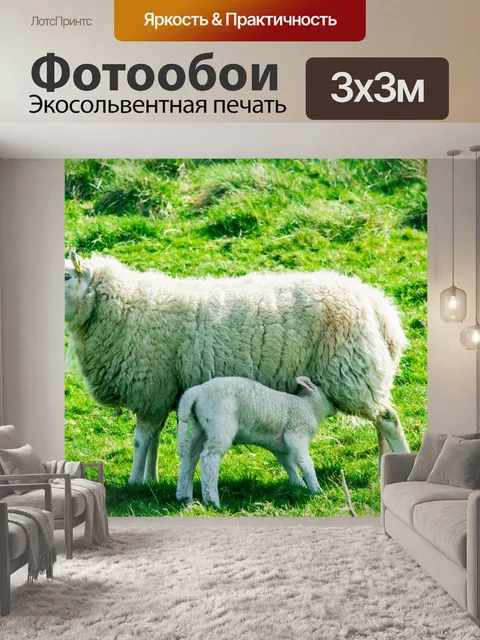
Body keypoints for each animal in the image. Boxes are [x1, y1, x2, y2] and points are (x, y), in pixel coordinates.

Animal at [64, 249, 409, 485]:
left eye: (67, 276)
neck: (122, 307)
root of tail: (379, 307)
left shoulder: (151, 388)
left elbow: (140, 439)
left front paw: (136, 482)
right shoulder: (159, 394)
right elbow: (153, 439)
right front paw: (151, 479)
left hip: (350, 371)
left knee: (388, 420)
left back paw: (401, 463)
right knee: (379, 422)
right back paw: (384, 465)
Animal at [176, 376, 336, 507]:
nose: (336, 408)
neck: (310, 408)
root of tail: (197, 391)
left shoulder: (280, 447)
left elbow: (288, 465)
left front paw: (298, 485)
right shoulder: (297, 435)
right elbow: (306, 464)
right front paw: (316, 490)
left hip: (195, 426)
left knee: (189, 456)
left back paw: (185, 497)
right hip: (220, 424)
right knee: (209, 458)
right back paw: (212, 501)